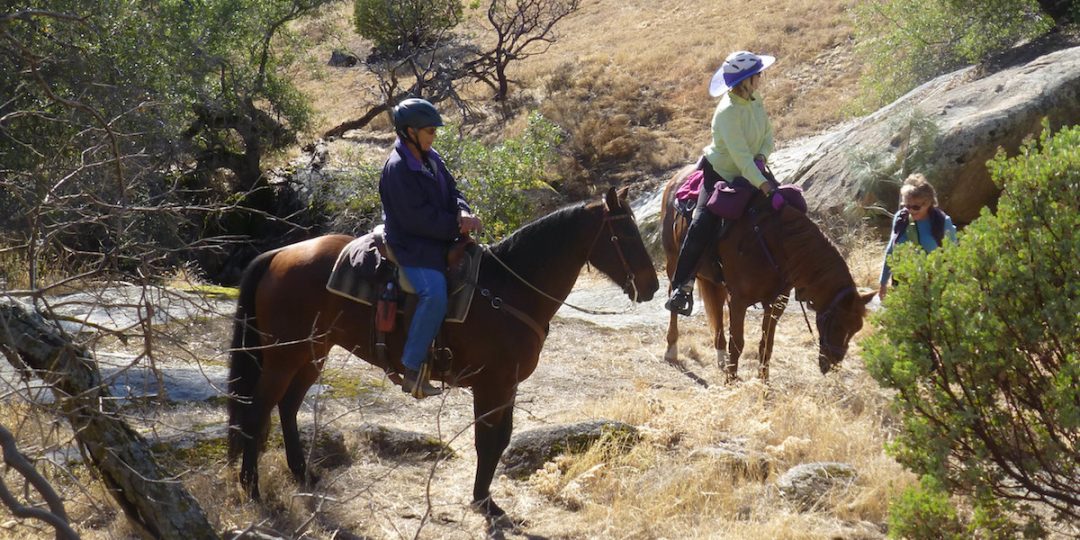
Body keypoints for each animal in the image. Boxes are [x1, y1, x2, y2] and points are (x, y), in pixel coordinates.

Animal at [225, 186, 656, 518]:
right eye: (626, 235)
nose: (652, 287)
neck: (510, 289)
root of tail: (279, 255)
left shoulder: (508, 386)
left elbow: (501, 438)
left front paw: (484, 498)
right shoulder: (492, 385)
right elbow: (487, 440)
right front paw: (484, 502)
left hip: (312, 352)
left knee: (288, 406)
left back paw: (302, 474)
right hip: (283, 355)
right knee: (258, 411)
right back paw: (252, 488)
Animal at [656, 166, 876, 382]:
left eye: (856, 329)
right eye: (838, 325)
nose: (833, 364)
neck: (774, 242)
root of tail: (677, 177)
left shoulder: (777, 302)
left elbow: (766, 345)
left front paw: (763, 383)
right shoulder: (738, 301)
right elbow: (738, 343)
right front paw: (731, 382)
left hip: (714, 281)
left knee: (716, 311)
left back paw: (720, 358)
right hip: (673, 262)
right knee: (674, 297)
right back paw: (671, 349)